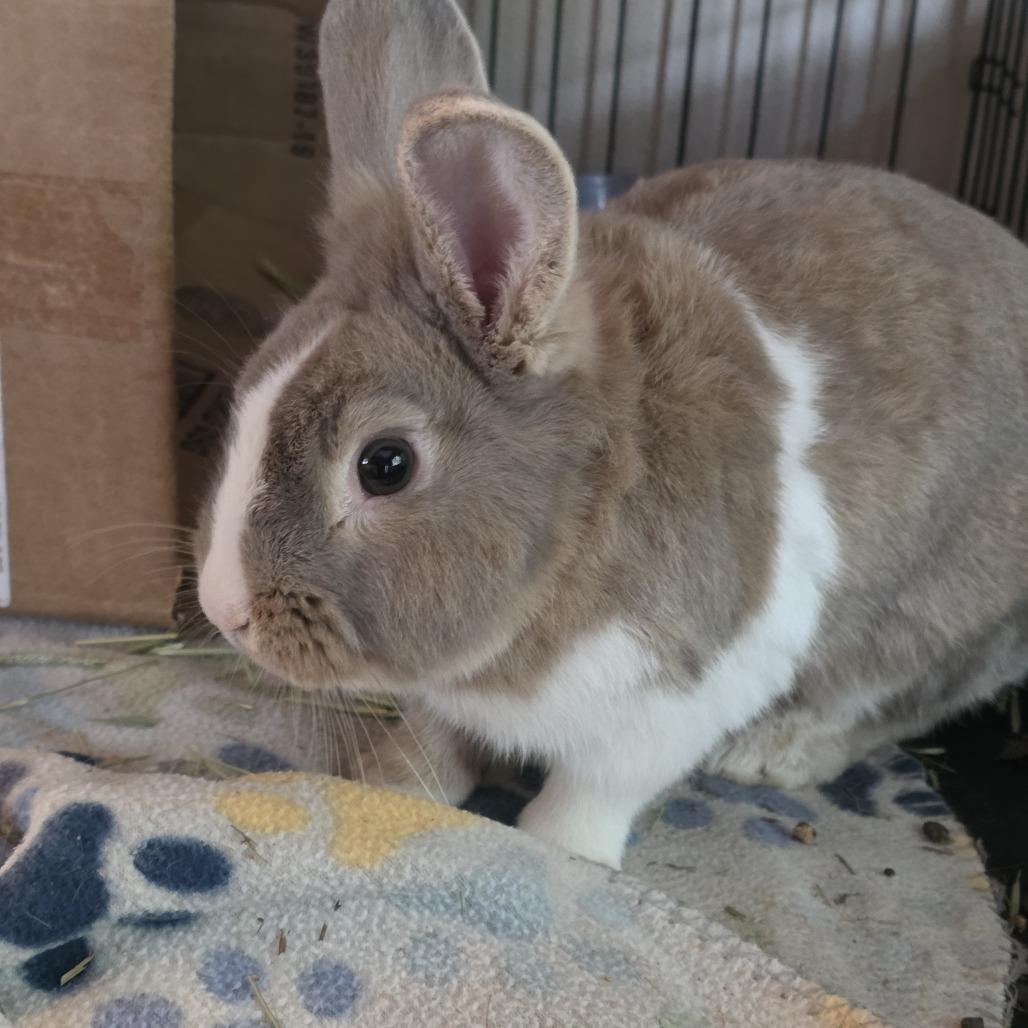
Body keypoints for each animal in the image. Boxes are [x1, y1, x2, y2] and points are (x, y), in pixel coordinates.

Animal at [195, 0, 1028, 868]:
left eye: (384, 464)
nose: (225, 611)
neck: (579, 512)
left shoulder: (670, 705)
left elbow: (590, 797)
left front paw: (565, 857)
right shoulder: (450, 701)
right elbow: (432, 747)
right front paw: (387, 792)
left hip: (937, 619)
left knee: (892, 700)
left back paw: (773, 752)